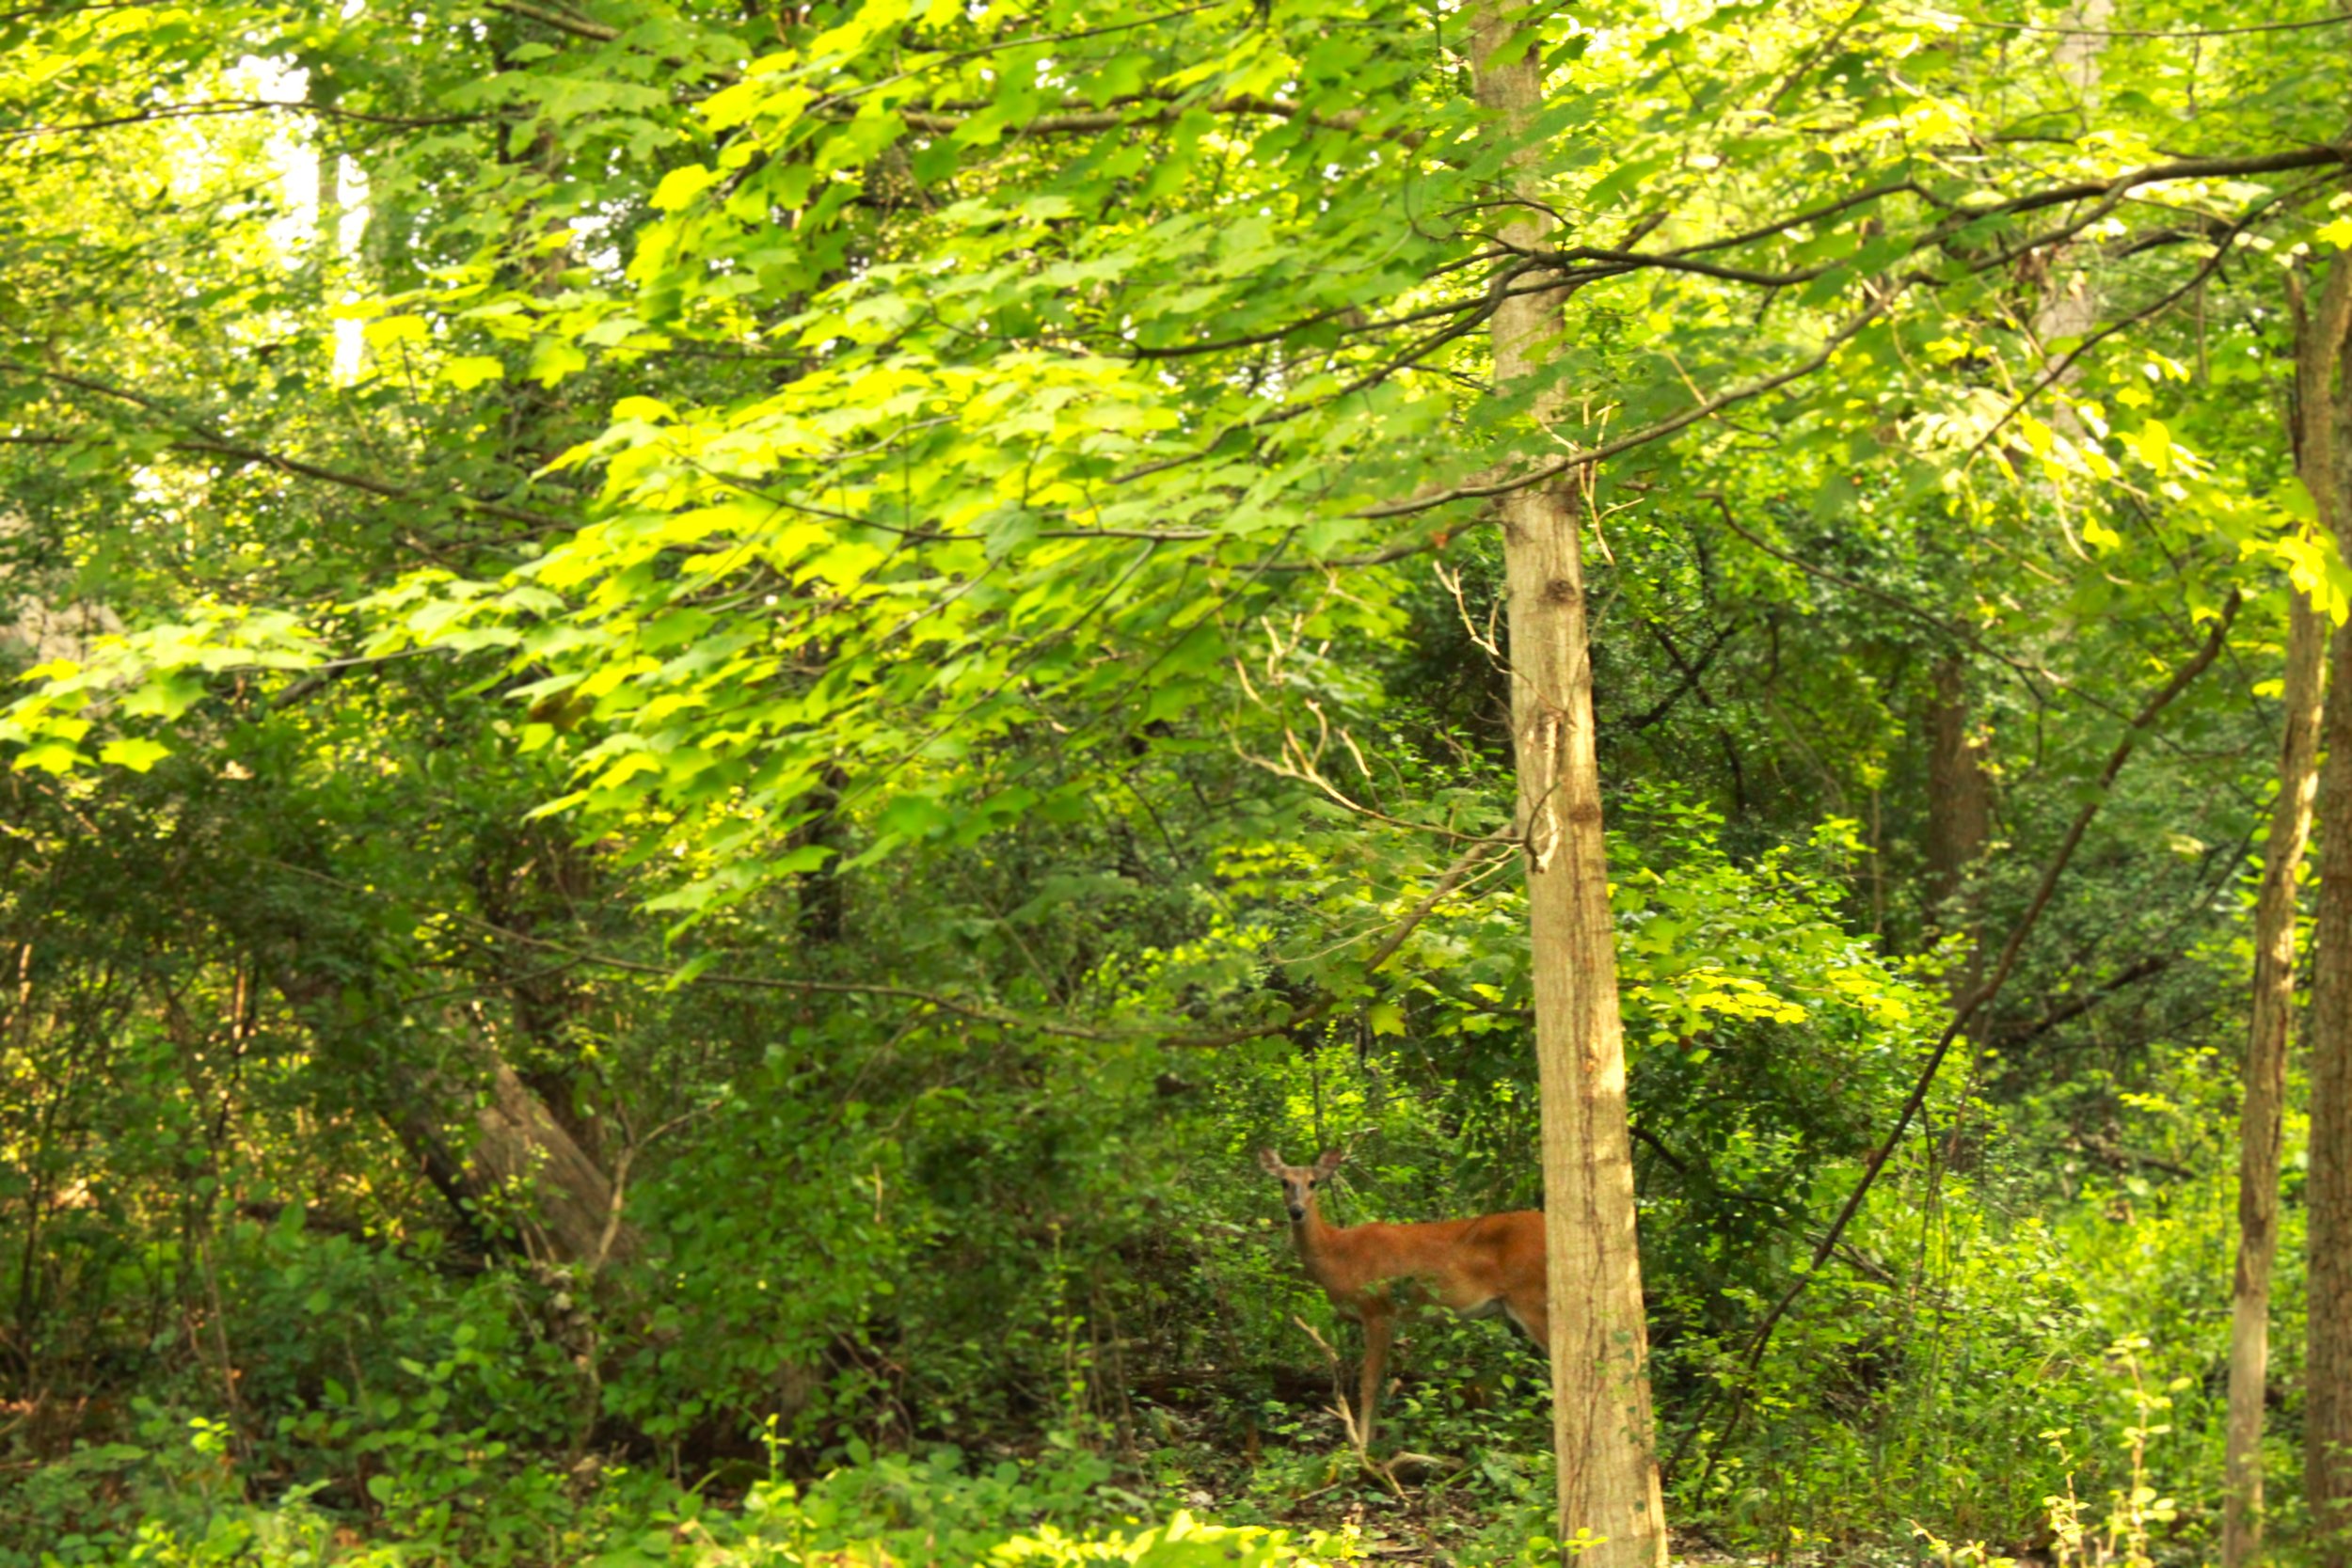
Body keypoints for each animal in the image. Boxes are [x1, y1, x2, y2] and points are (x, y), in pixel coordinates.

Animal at [1257, 1147, 1546, 1449]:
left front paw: (1362, 1447)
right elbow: (1382, 1380)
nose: (1296, 1210)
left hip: (1533, 1296)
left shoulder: (1378, 1309)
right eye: (1284, 1182)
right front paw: (1372, 1440)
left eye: (1313, 1182)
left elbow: (1369, 1382)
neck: (1338, 1253)